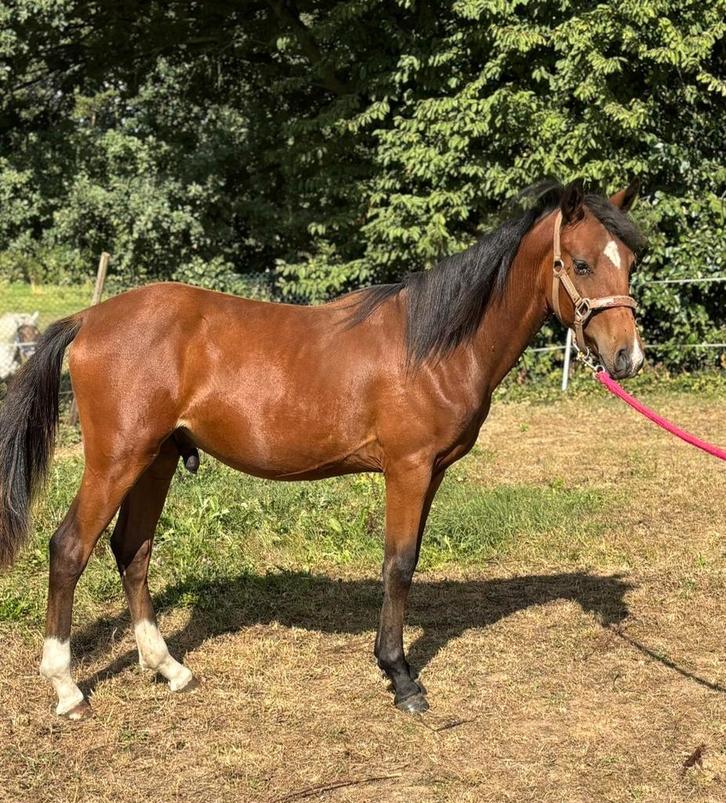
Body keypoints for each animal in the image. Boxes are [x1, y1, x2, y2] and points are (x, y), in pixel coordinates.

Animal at [0, 180, 646, 720]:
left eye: (631, 262)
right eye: (581, 263)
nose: (628, 358)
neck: (433, 345)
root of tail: (89, 319)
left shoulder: (431, 474)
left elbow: (406, 561)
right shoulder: (408, 470)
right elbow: (399, 565)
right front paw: (400, 677)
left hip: (155, 459)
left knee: (131, 550)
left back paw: (169, 668)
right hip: (116, 461)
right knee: (70, 549)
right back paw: (67, 688)